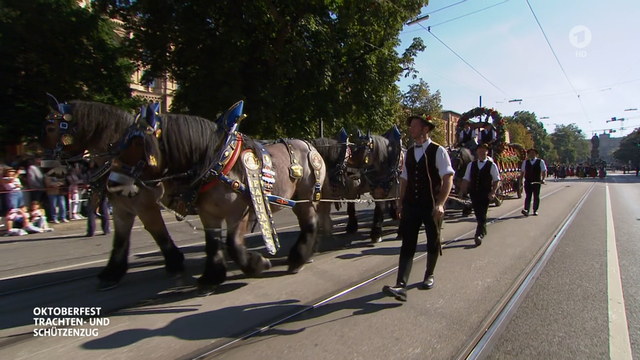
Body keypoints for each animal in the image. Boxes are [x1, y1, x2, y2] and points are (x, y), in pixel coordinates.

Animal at [40, 97, 185, 292]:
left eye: (50, 128)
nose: (44, 166)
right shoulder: (121, 208)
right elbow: (120, 240)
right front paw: (112, 273)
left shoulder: (145, 206)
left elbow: (158, 233)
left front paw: (175, 262)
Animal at [110, 100, 328, 294]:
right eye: (119, 142)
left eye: (137, 142)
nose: (112, 183)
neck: (217, 163)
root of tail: (310, 146)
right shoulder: (209, 214)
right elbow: (213, 244)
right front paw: (211, 278)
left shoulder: (239, 213)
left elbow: (233, 245)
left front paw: (258, 264)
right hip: (298, 199)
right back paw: (303, 255)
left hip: (307, 196)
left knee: (310, 223)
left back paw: (298, 259)